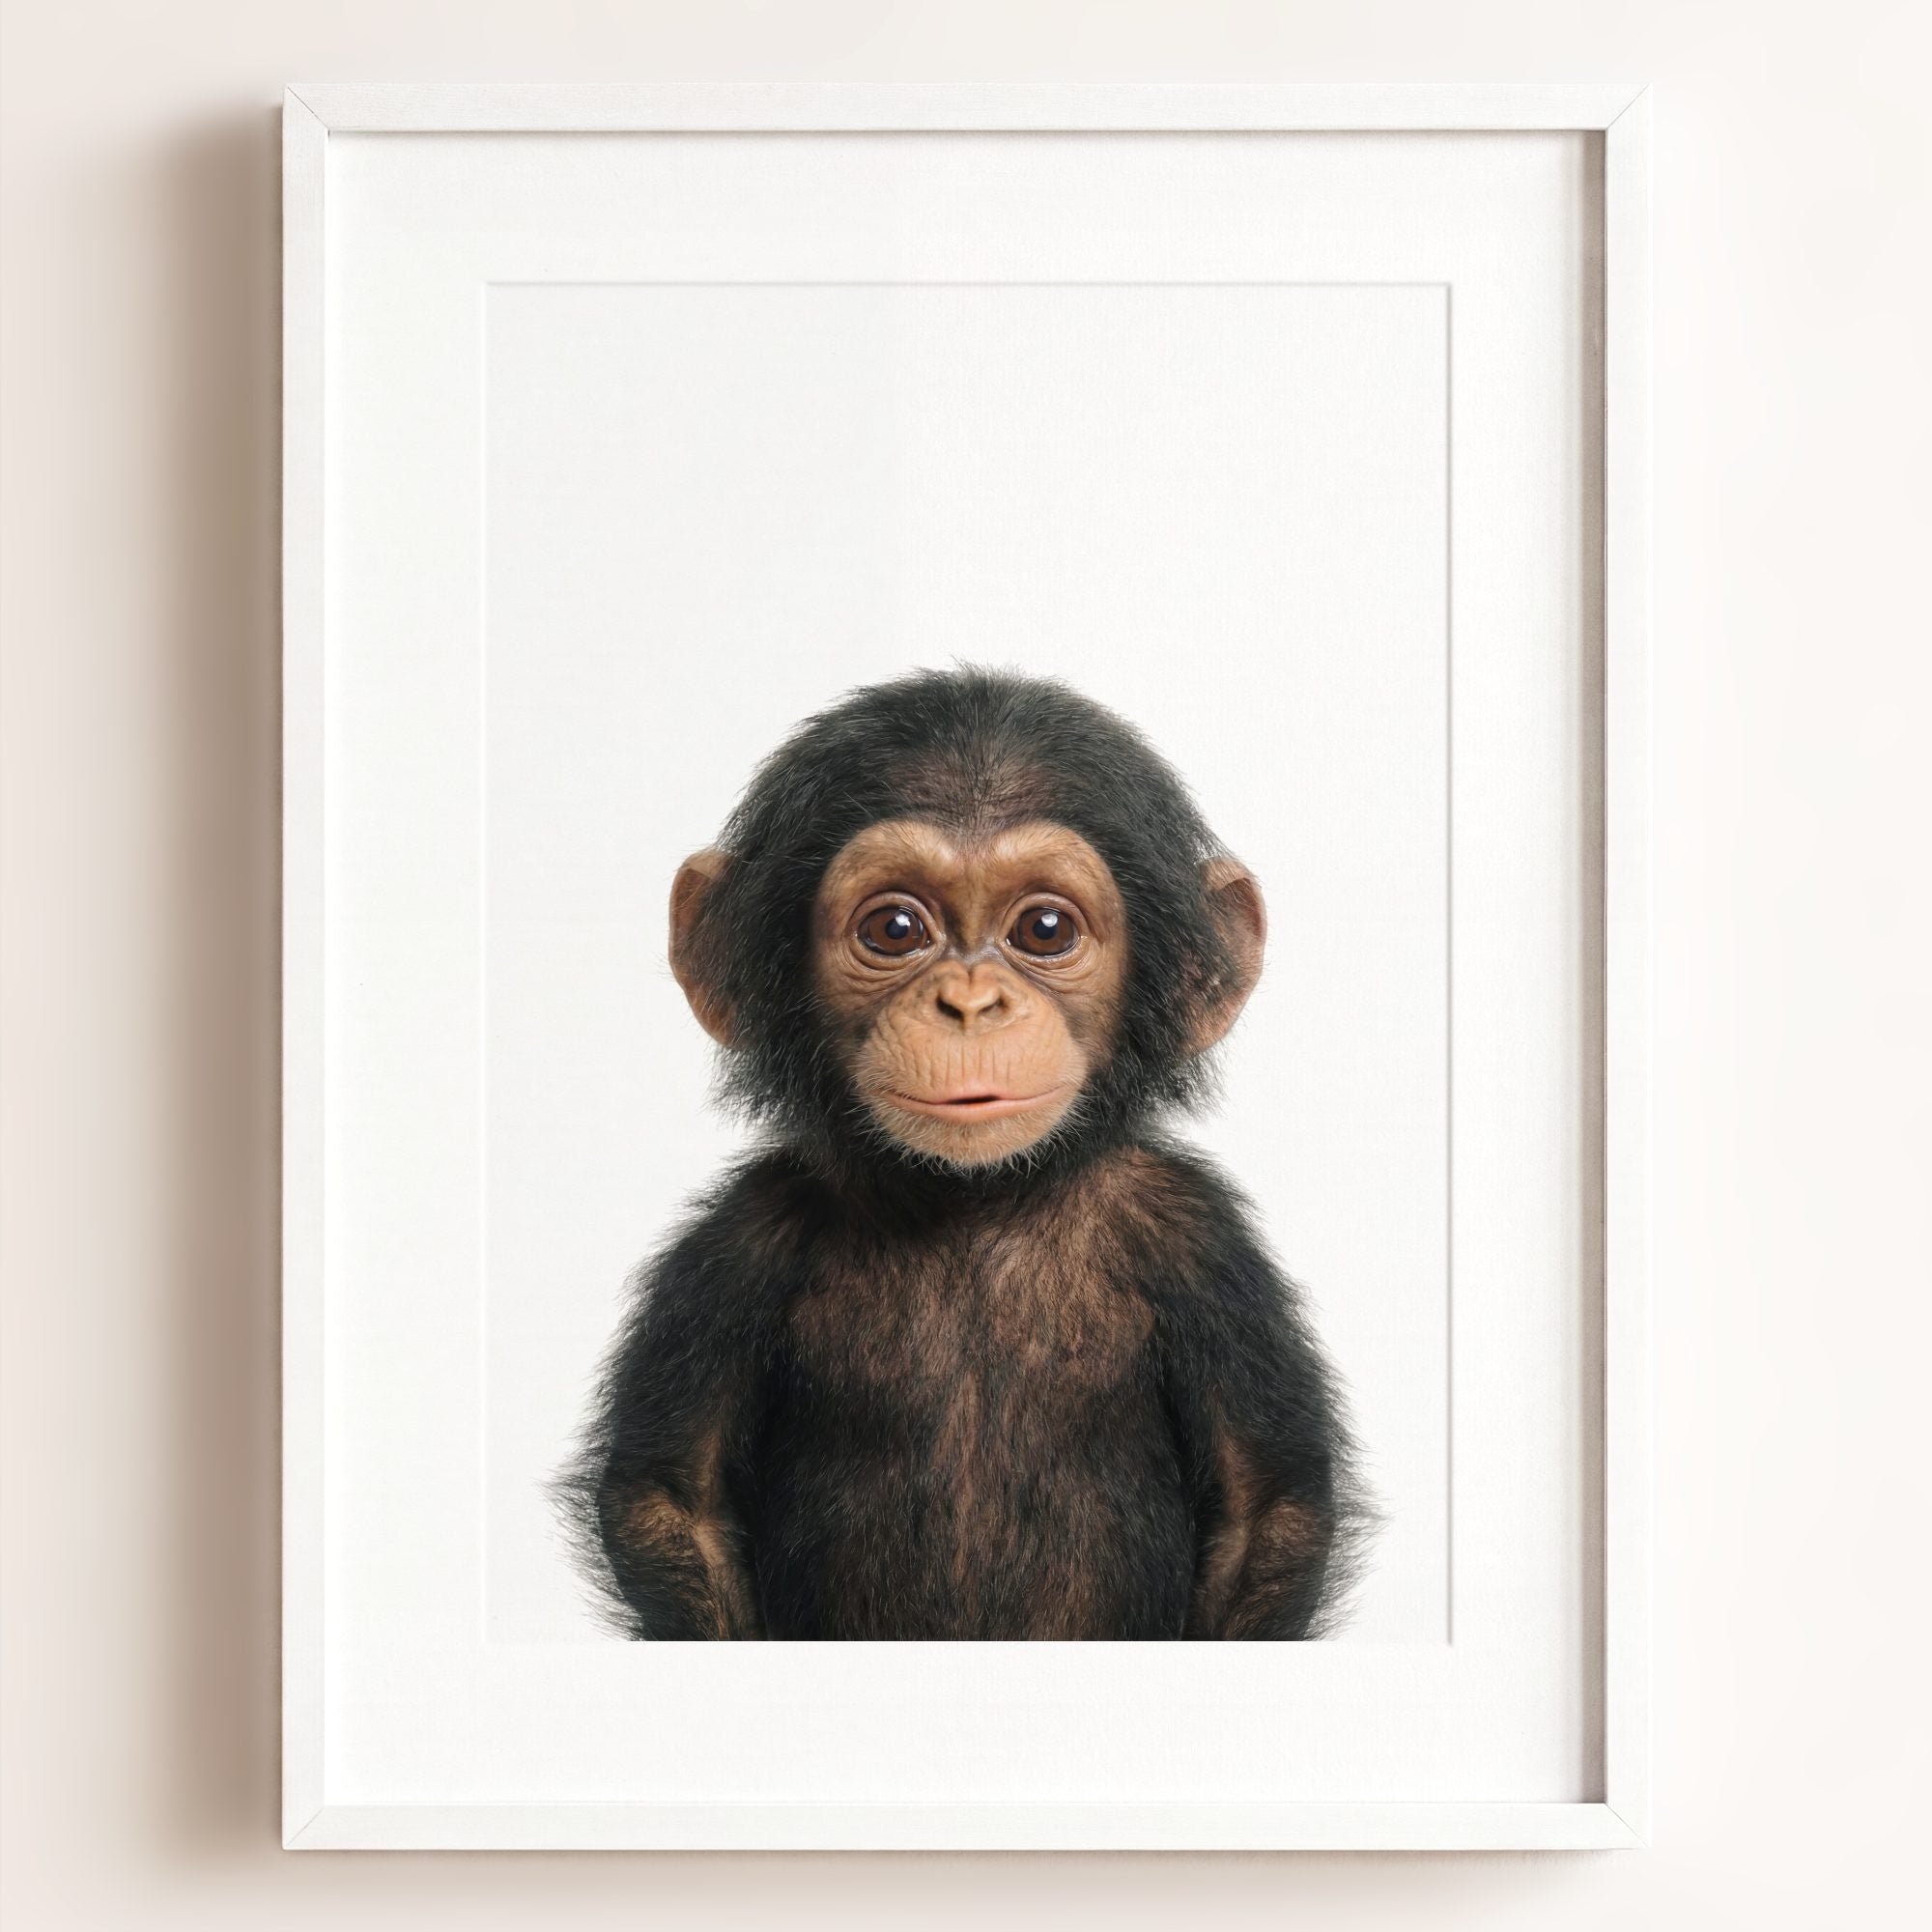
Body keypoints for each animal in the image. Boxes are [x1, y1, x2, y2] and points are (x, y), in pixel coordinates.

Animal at [562, 667, 1366, 1640]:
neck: (972, 1200)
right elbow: (673, 1501)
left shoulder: (1200, 1242)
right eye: (896, 929)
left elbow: (1266, 1510)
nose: (972, 1003)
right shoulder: (738, 1244)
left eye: (1046, 929)